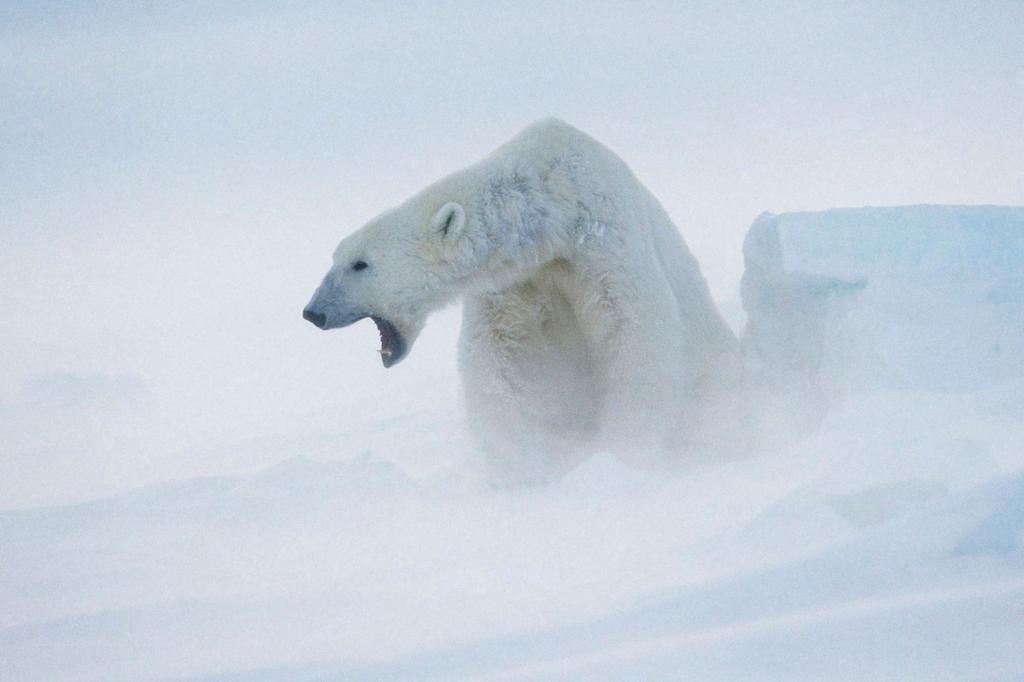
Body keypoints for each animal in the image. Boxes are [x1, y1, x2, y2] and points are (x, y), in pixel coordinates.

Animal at [303, 118, 745, 477]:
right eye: (336, 256)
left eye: (360, 264)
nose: (313, 312)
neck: (553, 209)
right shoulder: (516, 281)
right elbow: (499, 360)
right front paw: (520, 465)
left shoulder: (604, 243)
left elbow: (636, 334)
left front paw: (623, 454)